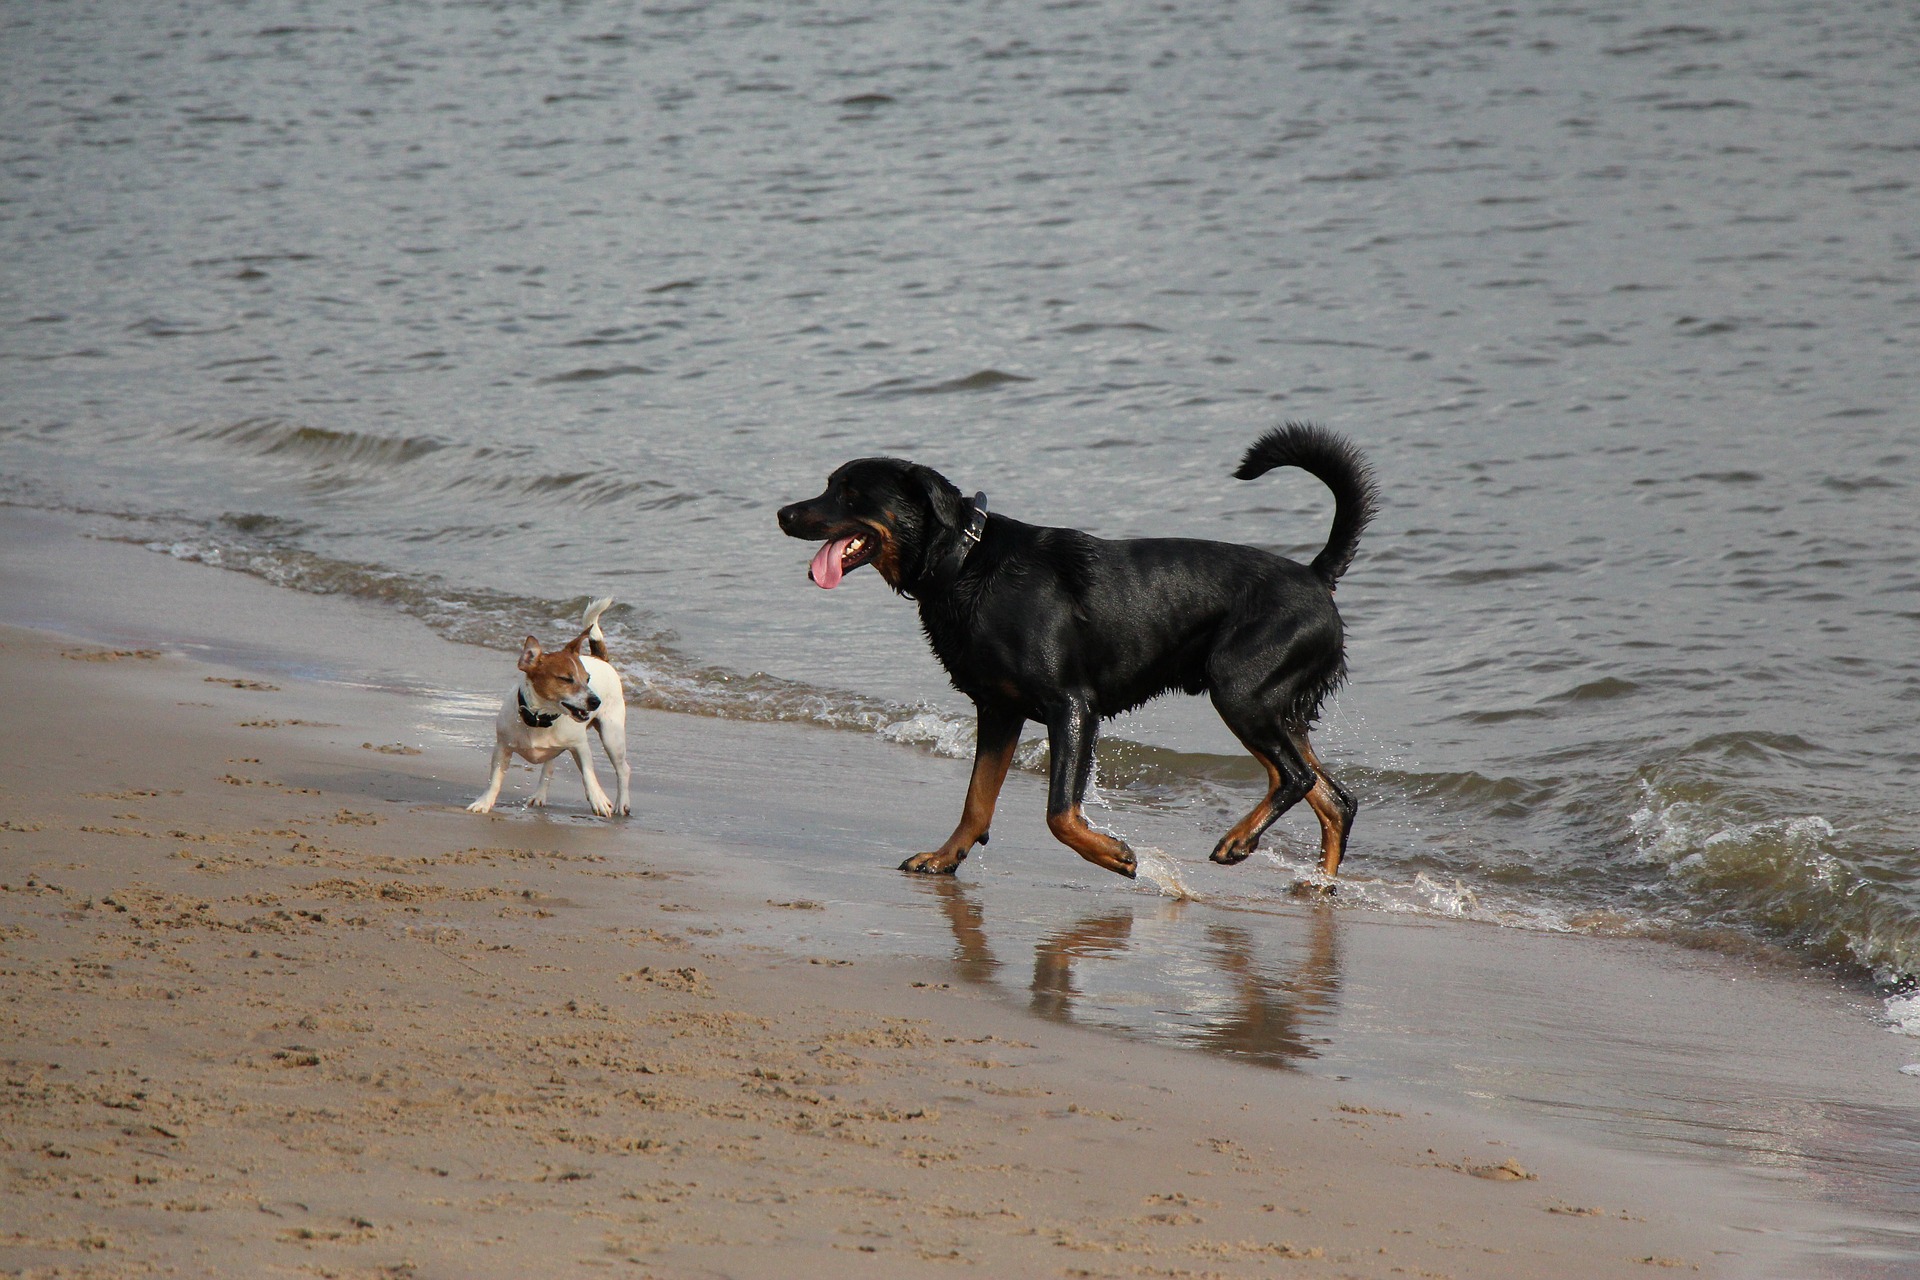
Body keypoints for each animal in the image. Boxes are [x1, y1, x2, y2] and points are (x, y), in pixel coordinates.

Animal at [468, 598, 633, 817]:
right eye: (565, 679)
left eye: (587, 679)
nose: (595, 701)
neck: (541, 718)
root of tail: (600, 658)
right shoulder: (502, 747)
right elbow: (494, 780)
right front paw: (484, 802)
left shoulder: (580, 746)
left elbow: (588, 774)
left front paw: (598, 798)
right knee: (549, 768)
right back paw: (539, 795)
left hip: (611, 735)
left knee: (623, 769)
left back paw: (622, 803)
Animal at [779, 426, 1382, 886]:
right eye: (829, 487)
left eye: (849, 494)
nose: (784, 513)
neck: (966, 564)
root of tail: (1316, 576)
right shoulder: (998, 710)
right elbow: (977, 798)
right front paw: (946, 857)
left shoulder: (1071, 707)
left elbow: (1059, 812)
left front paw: (1113, 854)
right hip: (1275, 707)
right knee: (1335, 798)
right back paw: (1319, 889)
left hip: (1241, 693)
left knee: (1295, 778)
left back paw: (1238, 842)